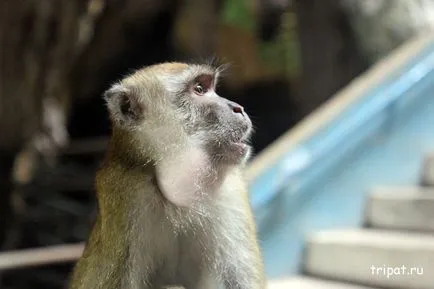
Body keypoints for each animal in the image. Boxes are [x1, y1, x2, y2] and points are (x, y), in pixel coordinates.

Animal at [68, 62, 266, 286]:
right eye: (199, 89)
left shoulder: (230, 193)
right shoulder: (125, 193)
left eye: (210, 87)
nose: (238, 108)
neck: (175, 197)